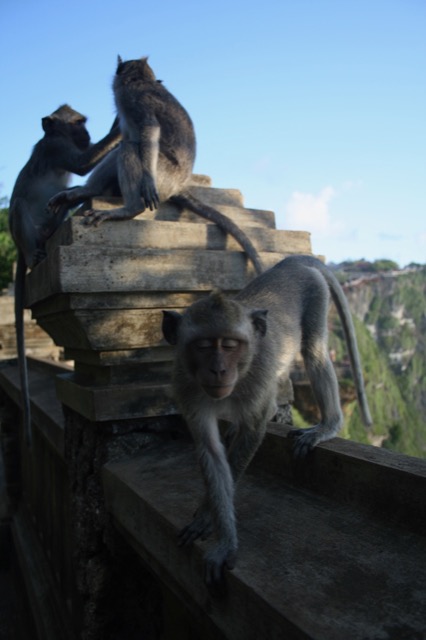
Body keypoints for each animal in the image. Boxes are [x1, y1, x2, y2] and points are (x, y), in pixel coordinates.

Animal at [9, 104, 121, 445]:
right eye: (77, 123)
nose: (86, 133)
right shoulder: (56, 148)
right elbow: (82, 164)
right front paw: (117, 127)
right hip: (23, 233)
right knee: (19, 206)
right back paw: (34, 255)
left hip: (47, 225)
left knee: (57, 210)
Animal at [48, 57, 264, 275]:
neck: (141, 80)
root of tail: (178, 186)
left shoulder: (134, 98)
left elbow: (149, 129)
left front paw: (146, 181)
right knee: (125, 147)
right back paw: (88, 191)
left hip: (164, 175)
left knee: (130, 148)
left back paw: (130, 209)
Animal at [161, 255, 372, 585]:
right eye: (203, 346)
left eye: (230, 345)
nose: (219, 370)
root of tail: (288, 264)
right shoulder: (186, 386)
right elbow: (211, 451)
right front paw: (214, 520)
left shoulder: (257, 378)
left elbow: (252, 432)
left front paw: (215, 530)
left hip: (315, 291)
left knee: (313, 351)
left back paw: (327, 426)